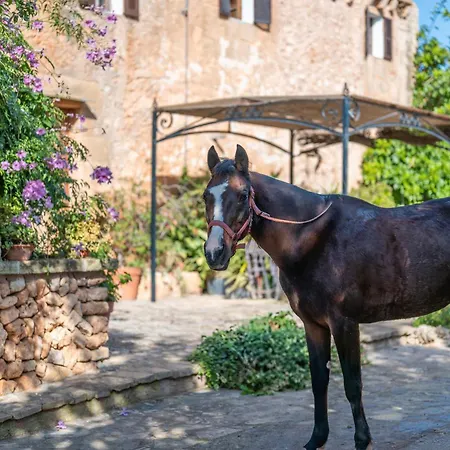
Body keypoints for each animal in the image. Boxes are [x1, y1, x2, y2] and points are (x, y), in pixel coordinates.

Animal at [202, 144, 450, 450]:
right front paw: (317, 438)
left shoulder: (344, 323)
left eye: (242, 194)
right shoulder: (313, 324)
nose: (215, 252)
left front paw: (362, 440)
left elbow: (352, 384)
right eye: (206, 196)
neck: (312, 238)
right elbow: (319, 381)